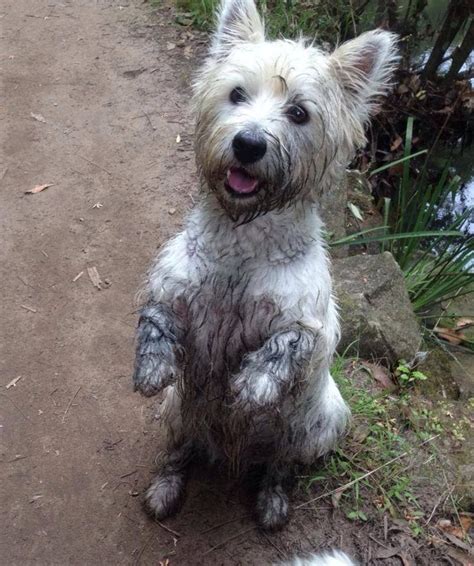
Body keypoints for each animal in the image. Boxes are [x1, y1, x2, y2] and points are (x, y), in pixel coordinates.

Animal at [132, 0, 396, 532]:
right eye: (236, 93)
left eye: (299, 112)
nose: (248, 143)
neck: (243, 242)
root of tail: (233, 452)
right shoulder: (174, 287)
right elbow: (155, 317)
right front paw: (150, 366)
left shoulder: (308, 320)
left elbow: (285, 345)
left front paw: (252, 385)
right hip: (178, 411)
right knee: (179, 449)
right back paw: (165, 488)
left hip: (313, 425)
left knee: (282, 463)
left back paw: (273, 502)